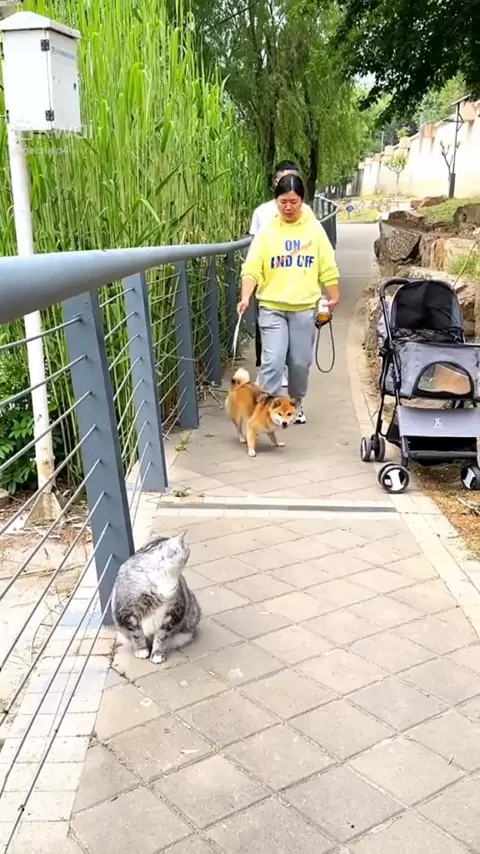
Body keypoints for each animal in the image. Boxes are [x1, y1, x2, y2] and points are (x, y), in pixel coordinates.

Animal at [112, 531, 201, 664]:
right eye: (187, 548)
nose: (190, 551)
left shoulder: (172, 612)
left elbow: (161, 637)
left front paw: (158, 654)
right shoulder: (128, 613)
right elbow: (137, 635)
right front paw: (142, 650)